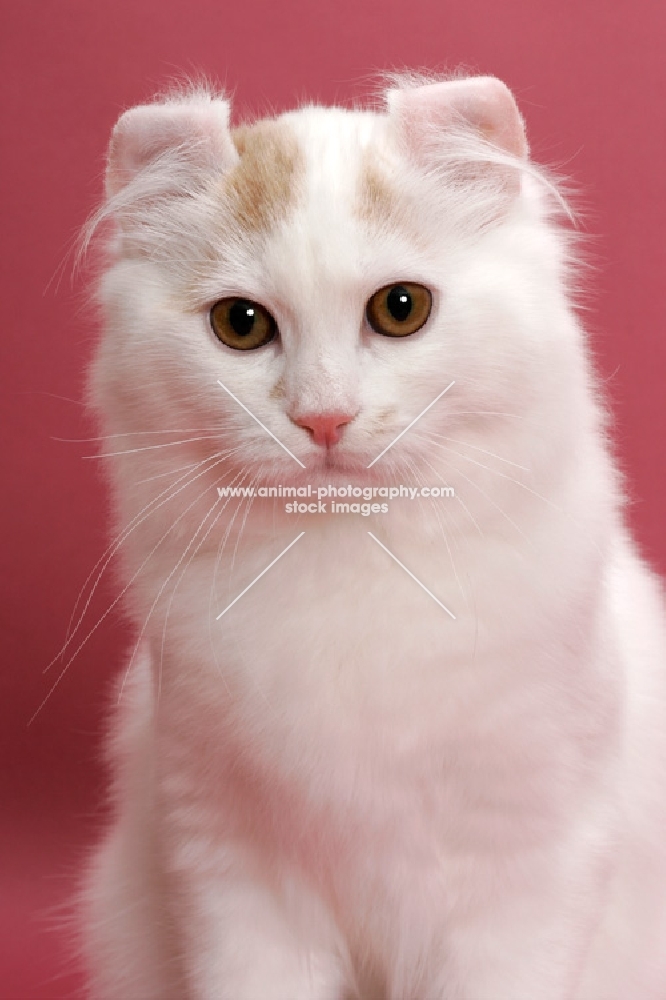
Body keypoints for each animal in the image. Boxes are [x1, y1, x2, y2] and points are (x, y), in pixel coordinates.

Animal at [75, 74, 664, 996]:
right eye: (240, 324)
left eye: (400, 310)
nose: (324, 418)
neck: (348, 562)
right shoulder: (229, 867)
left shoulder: (528, 874)